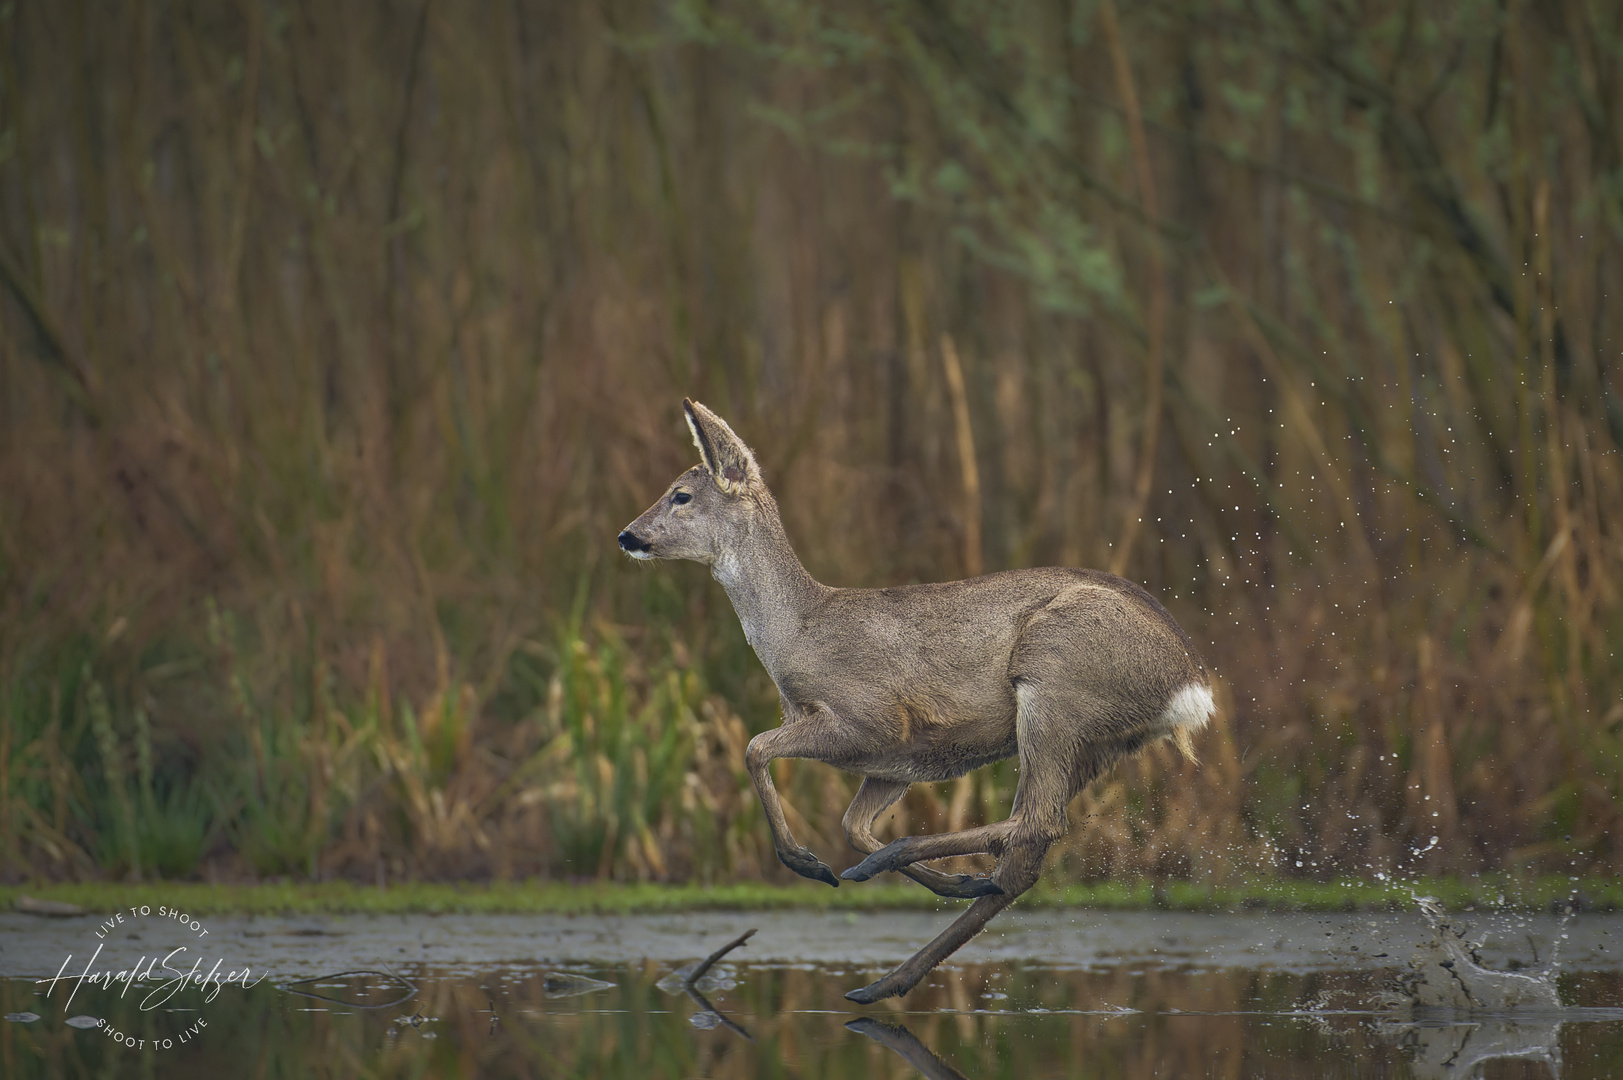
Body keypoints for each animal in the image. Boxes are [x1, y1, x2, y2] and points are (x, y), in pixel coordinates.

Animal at [613, 397, 1214, 1000]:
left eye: (681, 495)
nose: (627, 535)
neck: (798, 634)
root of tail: (1192, 684)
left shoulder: (873, 719)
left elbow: (756, 748)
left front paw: (809, 863)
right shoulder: (895, 761)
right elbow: (851, 824)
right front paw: (943, 880)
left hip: (1054, 682)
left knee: (1037, 821)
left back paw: (888, 877)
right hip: (1100, 741)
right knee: (1024, 860)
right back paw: (888, 974)